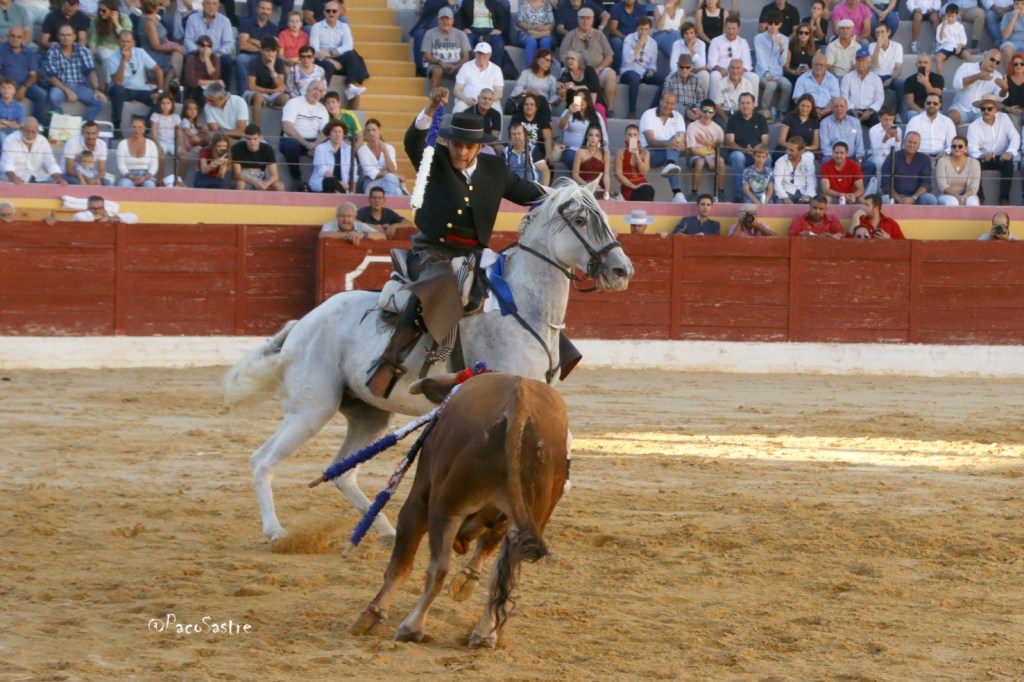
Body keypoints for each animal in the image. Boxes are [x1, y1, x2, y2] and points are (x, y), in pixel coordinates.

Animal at [223, 179, 633, 542]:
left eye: (604, 217)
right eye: (579, 220)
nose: (621, 270)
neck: (521, 307)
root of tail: (302, 325)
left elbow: (561, 441)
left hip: (368, 415)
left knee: (341, 472)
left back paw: (385, 531)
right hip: (312, 409)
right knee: (262, 461)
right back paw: (276, 532)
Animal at [349, 372, 570, 648]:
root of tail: (519, 405)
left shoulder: (418, 501)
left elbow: (401, 564)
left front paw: (372, 615)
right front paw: (466, 580)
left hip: (445, 507)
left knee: (438, 568)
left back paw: (412, 627)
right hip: (530, 517)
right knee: (503, 575)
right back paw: (485, 634)